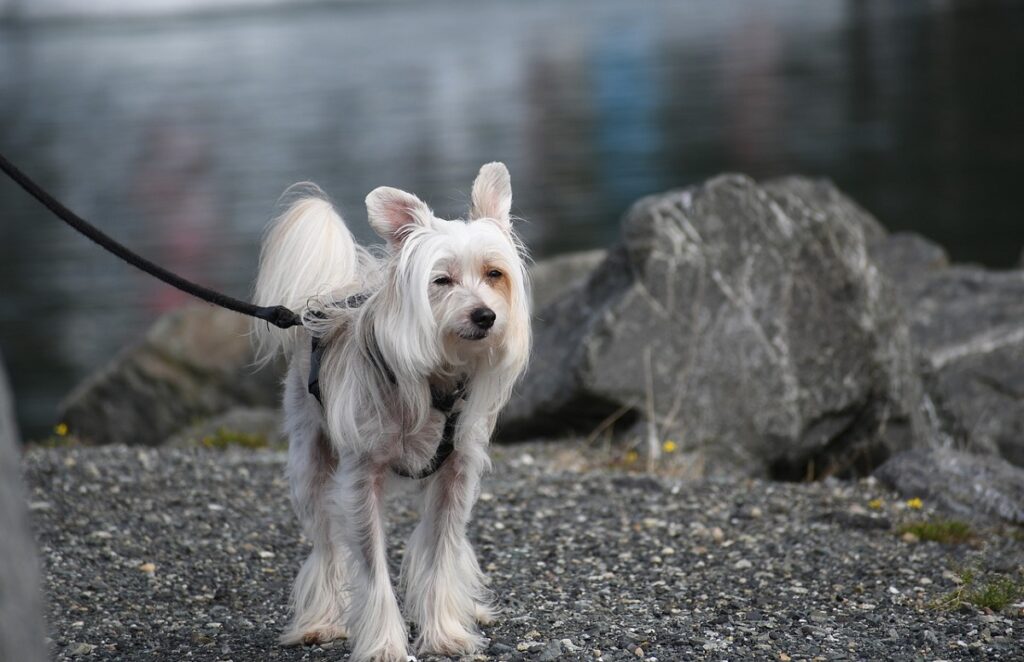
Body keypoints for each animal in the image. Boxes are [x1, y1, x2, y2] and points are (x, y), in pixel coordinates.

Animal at [251, 161, 532, 662]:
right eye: (441, 281)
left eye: (494, 274)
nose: (485, 316)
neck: (438, 381)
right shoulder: (361, 480)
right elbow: (371, 570)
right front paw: (384, 644)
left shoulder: (456, 476)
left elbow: (441, 554)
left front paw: (446, 632)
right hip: (309, 462)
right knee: (327, 547)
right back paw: (321, 620)